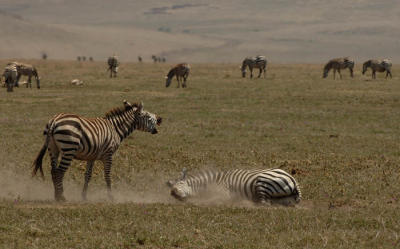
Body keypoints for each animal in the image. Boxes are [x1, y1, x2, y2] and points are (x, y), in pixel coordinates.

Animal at [31, 100, 162, 201]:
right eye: (147, 116)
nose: (160, 118)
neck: (115, 129)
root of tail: (54, 121)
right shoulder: (108, 155)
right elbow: (107, 175)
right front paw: (111, 197)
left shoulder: (91, 157)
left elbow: (87, 176)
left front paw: (84, 196)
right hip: (69, 149)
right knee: (59, 172)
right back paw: (61, 197)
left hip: (53, 149)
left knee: (53, 171)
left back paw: (56, 196)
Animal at [167, 167, 302, 206]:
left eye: (181, 184)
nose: (173, 192)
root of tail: (292, 179)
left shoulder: (224, 193)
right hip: (285, 197)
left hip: (262, 183)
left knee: (264, 203)